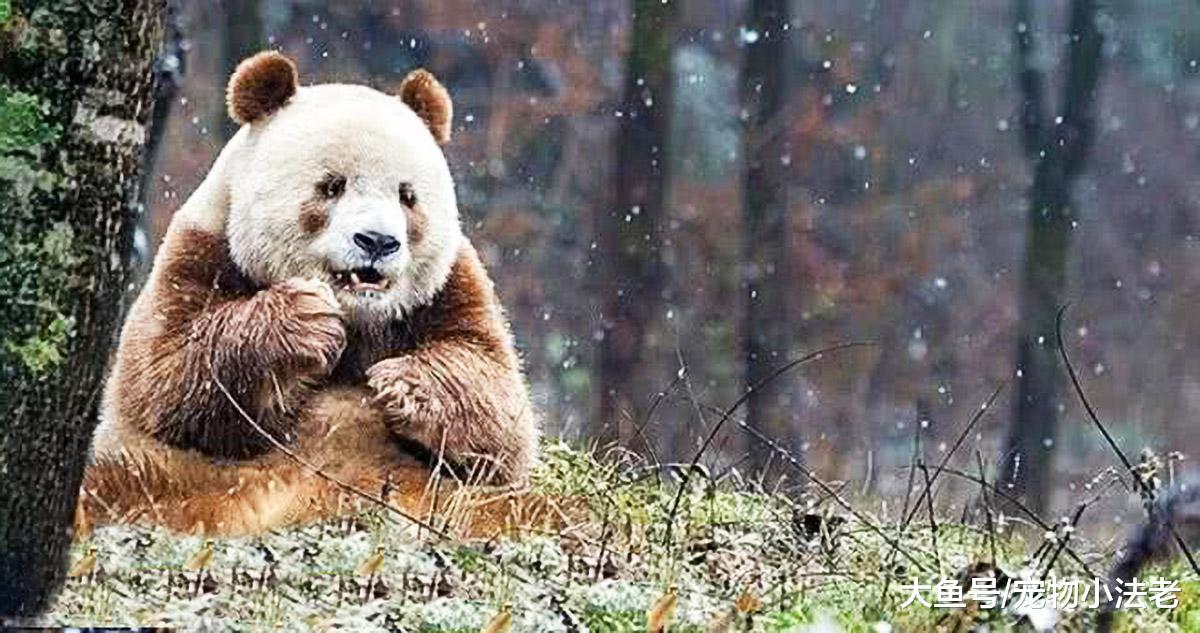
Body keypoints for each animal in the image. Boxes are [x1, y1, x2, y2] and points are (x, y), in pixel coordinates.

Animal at [79, 51, 540, 537]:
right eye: (332, 185)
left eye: (407, 196)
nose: (377, 241)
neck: (359, 318)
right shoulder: (200, 252)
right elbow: (168, 378)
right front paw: (305, 321)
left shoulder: (449, 286)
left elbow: (499, 408)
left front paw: (402, 385)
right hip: (179, 476)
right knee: (111, 484)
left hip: (460, 498)